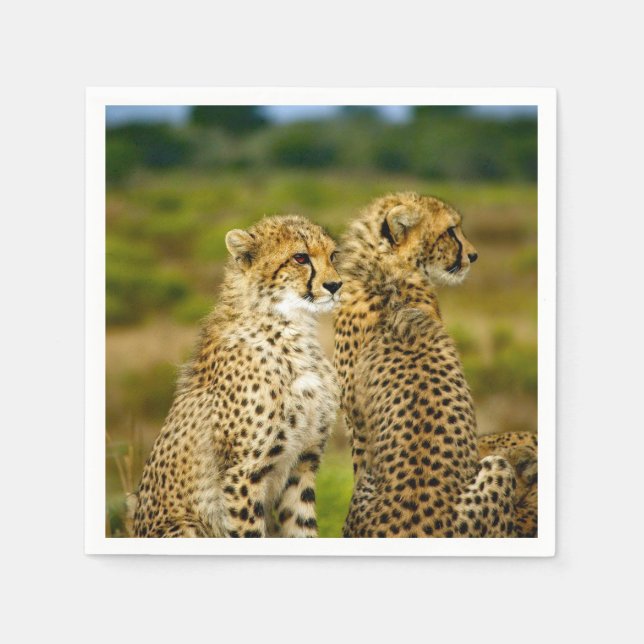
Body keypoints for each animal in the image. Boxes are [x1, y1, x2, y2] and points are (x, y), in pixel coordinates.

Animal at [128, 215, 342, 537]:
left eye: (333, 255)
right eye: (300, 258)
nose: (335, 285)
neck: (292, 328)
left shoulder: (303, 463)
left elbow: (301, 528)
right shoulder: (243, 474)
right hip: (187, 526)